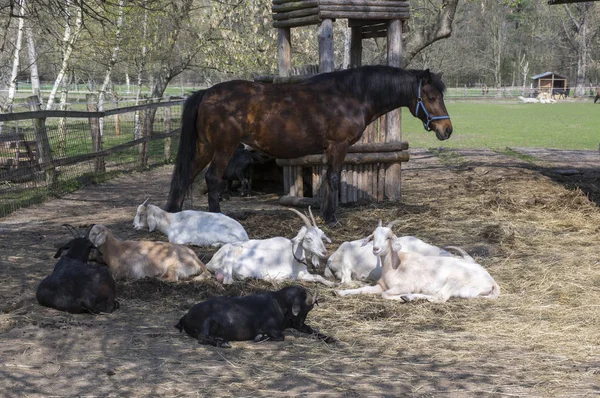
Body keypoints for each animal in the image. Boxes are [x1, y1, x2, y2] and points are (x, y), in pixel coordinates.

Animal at [166, 63, 452, 222]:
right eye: (430, 96)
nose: (447, 129)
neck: (350, 95)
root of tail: (207, 93)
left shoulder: (329, 149)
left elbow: (325, 179)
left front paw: (326, 213)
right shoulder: (339, 146)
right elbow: (334, 179)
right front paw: (333, 218)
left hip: (205, 148)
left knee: (185, 176)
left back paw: (174, 214)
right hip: (223, 150)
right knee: (213, 179)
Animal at [173, 284, 336, 346]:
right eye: (303, 309)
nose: (300, 323)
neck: (279, 303)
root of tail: (185, 316)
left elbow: (312, 330)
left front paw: (330, 338)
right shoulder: (269, 327)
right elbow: (281, 336)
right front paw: (259, 337)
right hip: (206, 321)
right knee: (202, 338)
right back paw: (223, 343)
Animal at [206, 208, 336, 286]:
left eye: (321, 236)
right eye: (308, 238)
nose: (324, 252)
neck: (293, 255)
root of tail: (210, 261)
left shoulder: (303, 273)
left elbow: (318, 276)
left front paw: (332, 283)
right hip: (230, 257)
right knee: (227, 281)